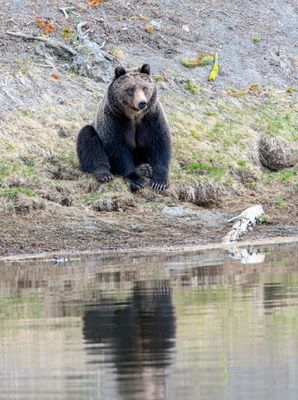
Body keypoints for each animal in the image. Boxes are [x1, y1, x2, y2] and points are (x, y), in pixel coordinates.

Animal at [77, 63, 171, 191]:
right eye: (130, 89)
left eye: (145, 87)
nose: (142, 103)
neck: (134, 116)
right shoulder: (115, 120)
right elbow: (118, 147)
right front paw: (137, 179)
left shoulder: (151, 119)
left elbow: (159, 144)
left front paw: (159, 181)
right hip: (94, 131)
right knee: (89, 140)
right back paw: (104, 173)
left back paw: (145, 168)